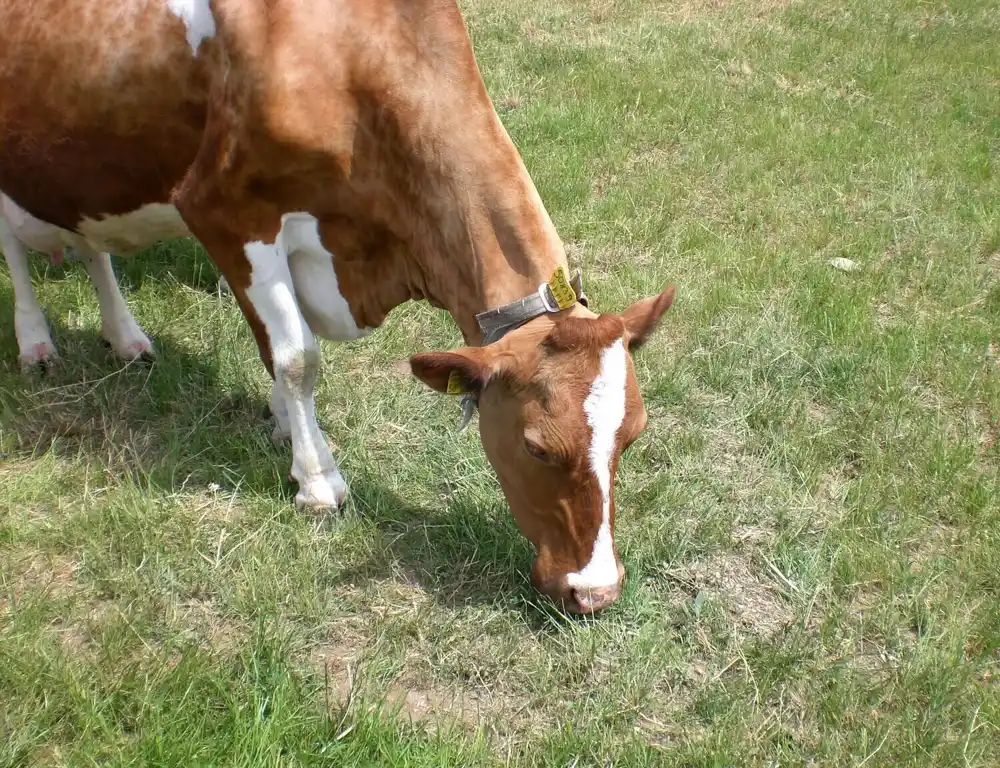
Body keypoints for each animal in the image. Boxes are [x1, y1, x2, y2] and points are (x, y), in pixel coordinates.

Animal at [0, 0, 676, 612]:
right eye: (536, 447)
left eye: (632, 436)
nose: (597, 591)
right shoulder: (226, 211)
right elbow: (297, 356)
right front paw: (319, 480)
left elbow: (270, 344)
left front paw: (284, 425)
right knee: (13, 249)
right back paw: (36, 344)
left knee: (91, 246)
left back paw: (125, 336)